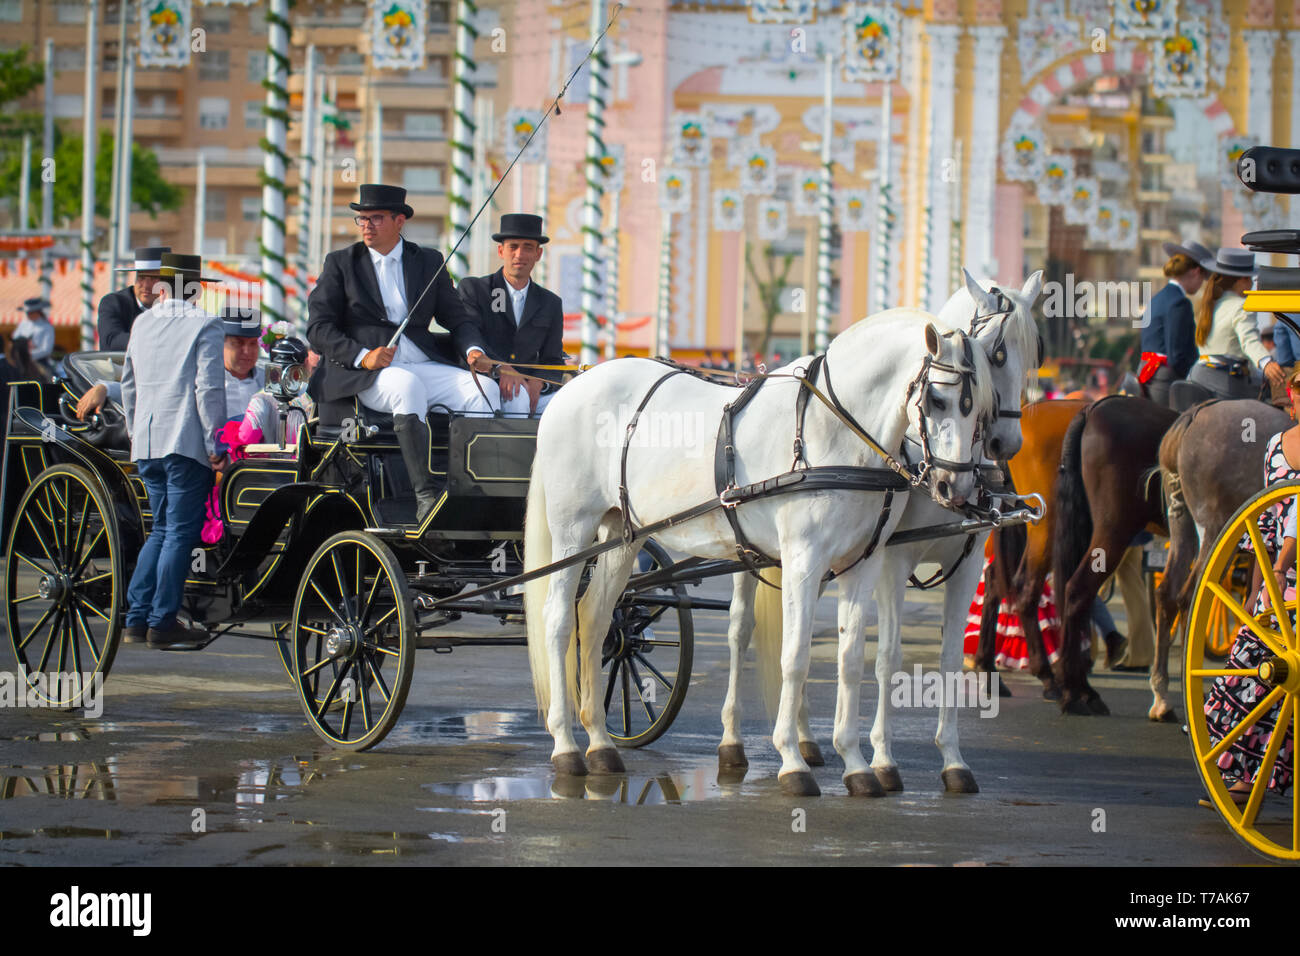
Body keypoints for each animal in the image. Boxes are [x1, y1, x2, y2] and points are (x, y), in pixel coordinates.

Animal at [522, 310, 987, 796]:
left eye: (980, 409)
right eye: (936, 398)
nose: (954, 487)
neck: (834, 433)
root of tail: (573, 386)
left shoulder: (863, 564)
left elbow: (851, 658)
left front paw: (856, 762)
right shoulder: (804, 560)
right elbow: (795, 656)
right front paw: (793, 760)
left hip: (623, 534)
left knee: (596, 622)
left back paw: (598, 741)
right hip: (573, 532)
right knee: (559, 619)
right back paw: (565, 743)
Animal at [722, 269, 1045, 790]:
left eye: (1034, 354)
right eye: (996, 353)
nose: (1005, 442)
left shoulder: (966, 565)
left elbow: (948, 660)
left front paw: (952, 758)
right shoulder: (893, 559)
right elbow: (887, 656)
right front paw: (882, 757)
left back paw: (805, 740)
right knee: (740, 630)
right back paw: (734, 739)